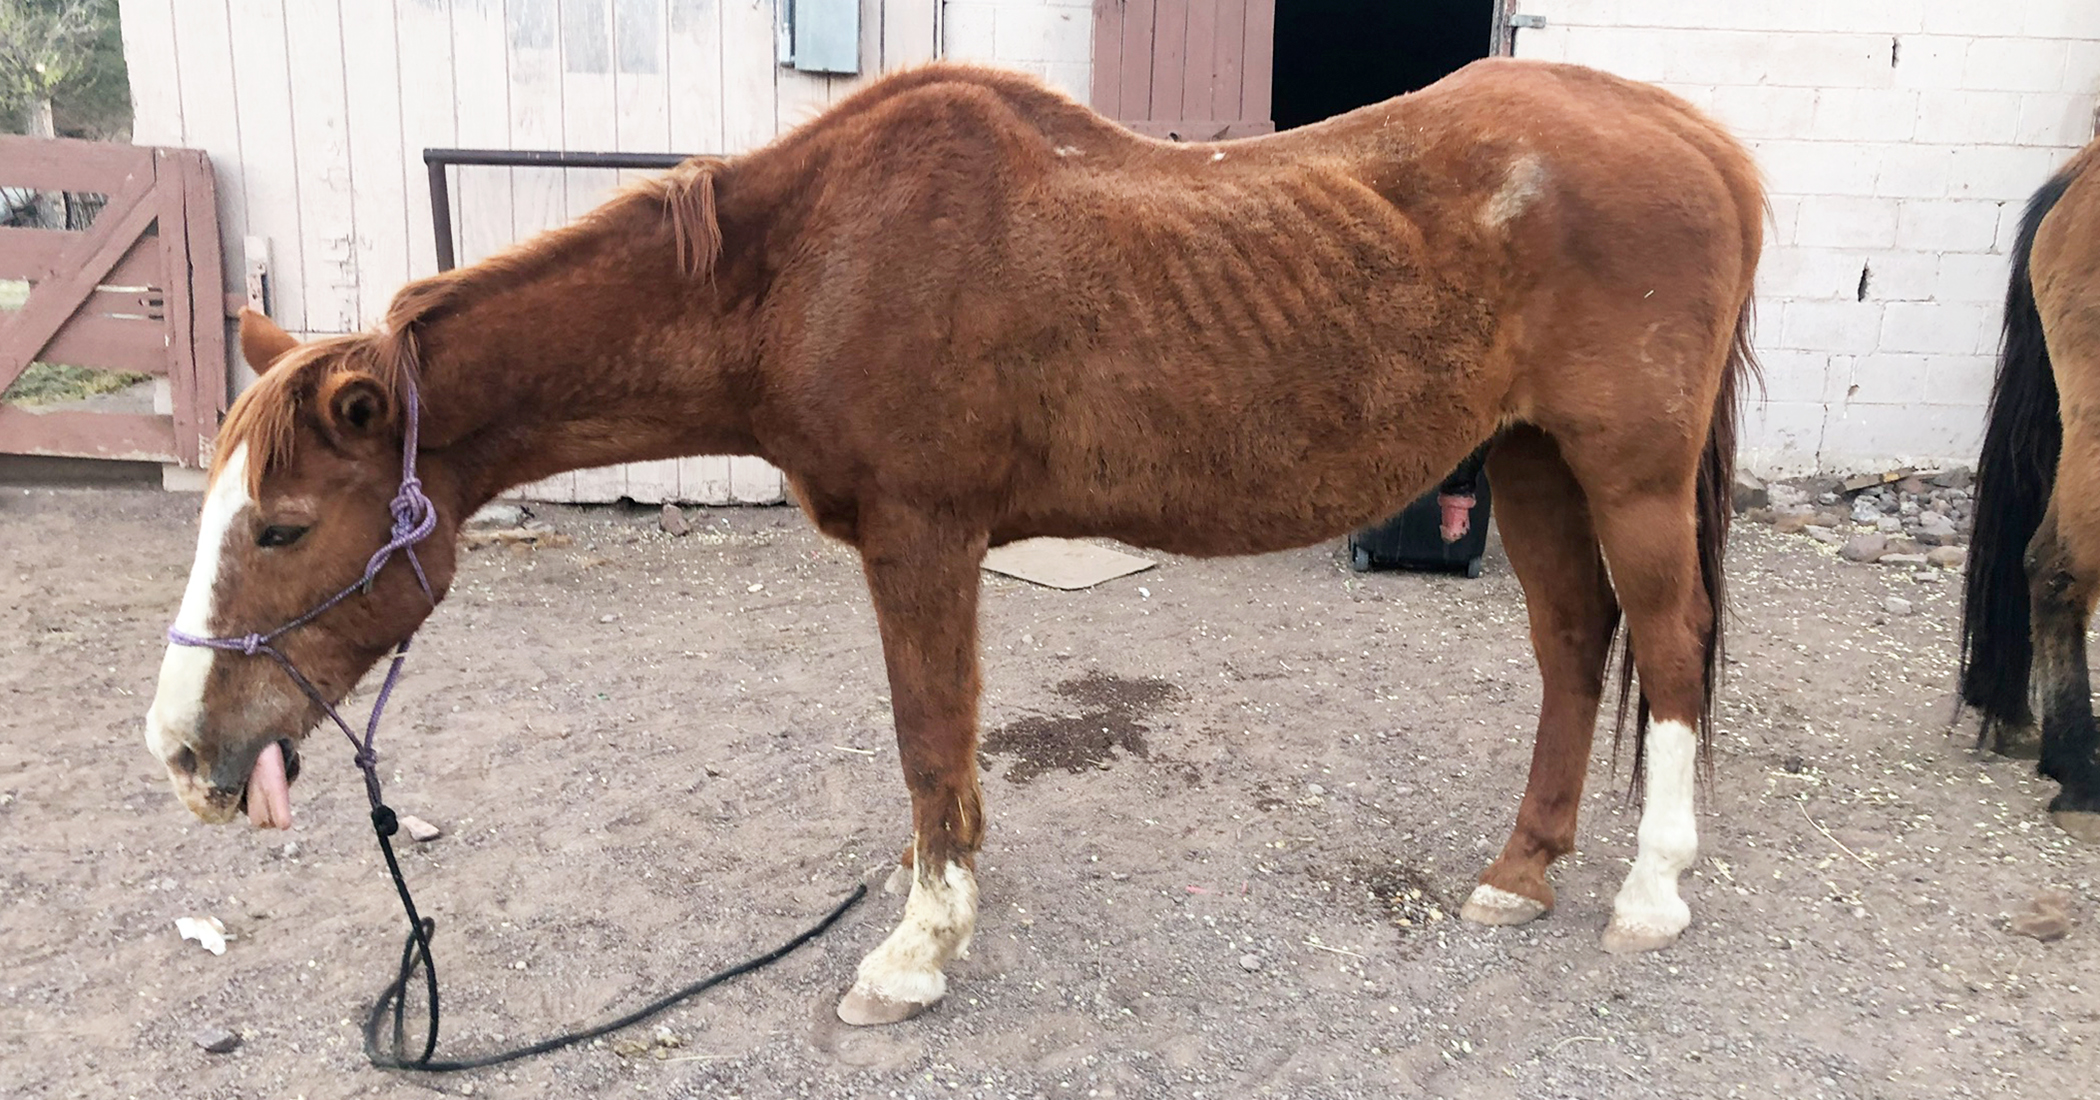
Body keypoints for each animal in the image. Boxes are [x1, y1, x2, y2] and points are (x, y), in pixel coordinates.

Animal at [139, 60, 1763, 1024]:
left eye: (283, 524)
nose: (183, 754)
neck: (809, 264)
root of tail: (1695, 134)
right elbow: (950, 745)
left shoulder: (921, 537)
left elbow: (928, 734)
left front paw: (917, 951)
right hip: (1536, 465)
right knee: (1575, 647)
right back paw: (1522, 870)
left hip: (1623, 472)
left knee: (1671, 648)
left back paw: (1651, 893)